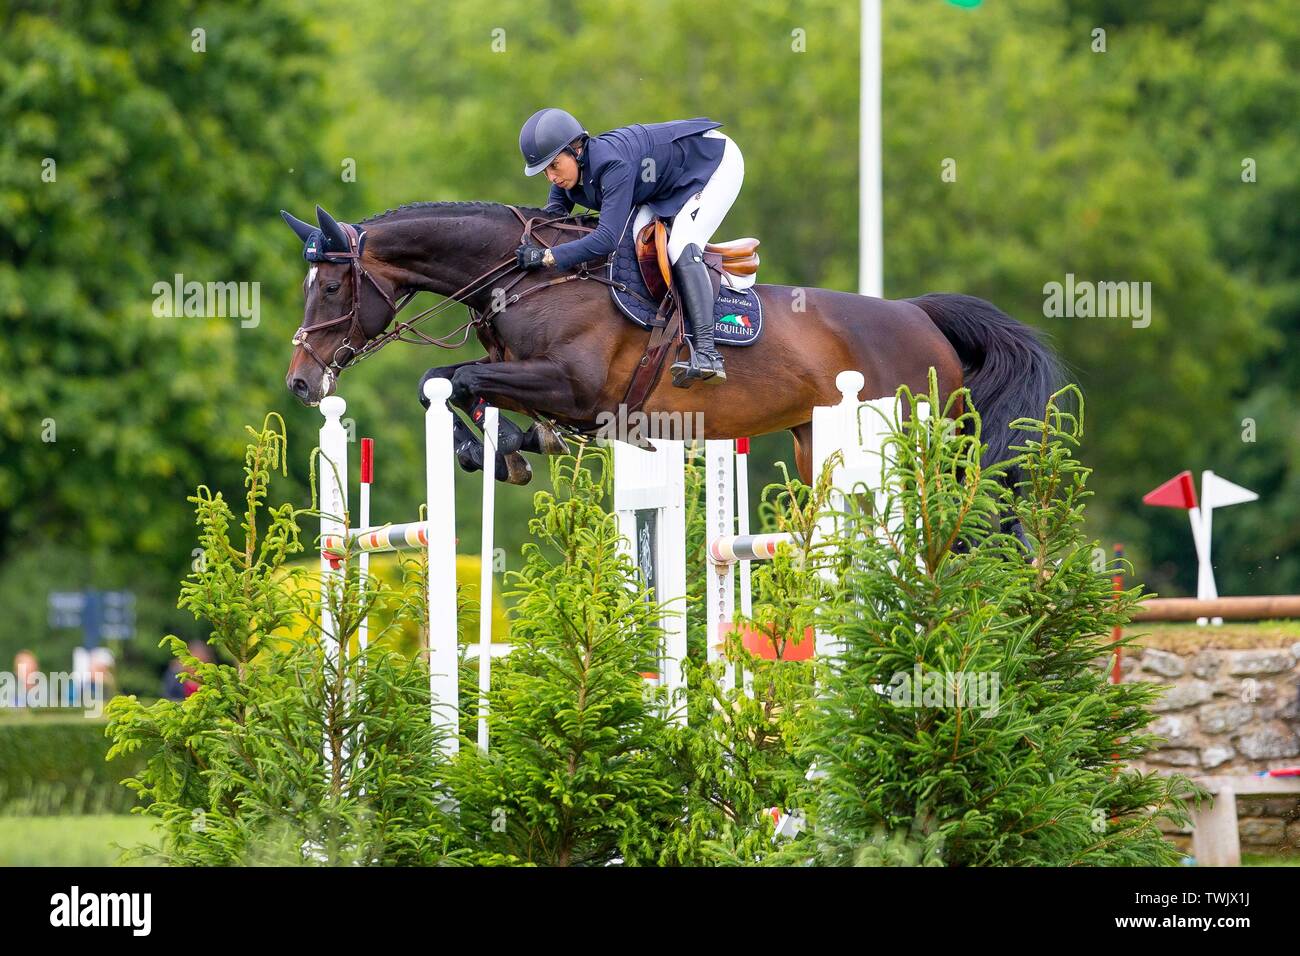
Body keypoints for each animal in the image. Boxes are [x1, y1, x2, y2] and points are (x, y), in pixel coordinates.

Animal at [282, 201, 1055, 486]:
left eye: (331, 288)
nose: (300, 382)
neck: (529, 279)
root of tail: (921, 316)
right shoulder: (558, 395)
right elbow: (458, 390)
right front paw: (507, 451)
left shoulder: (571, 384)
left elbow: (455, 379)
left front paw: (488, 455)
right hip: (815, 442)